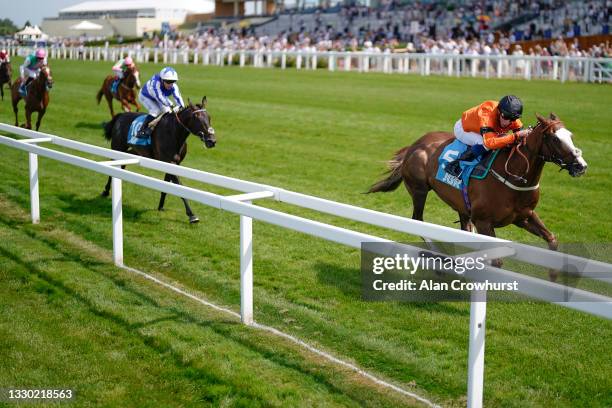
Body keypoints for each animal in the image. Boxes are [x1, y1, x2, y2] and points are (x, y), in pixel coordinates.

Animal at [368, 113, 588, 276]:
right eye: (555, 138)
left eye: (570, 135)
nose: (581, 166)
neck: (513, 176)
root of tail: (415, 144)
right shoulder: (484, 222)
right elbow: (497, 261)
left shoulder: (524, 216)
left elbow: (552, 239)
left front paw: (554, 274)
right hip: (419, 190)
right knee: (417, 220)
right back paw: (439, 258)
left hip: (461, 204)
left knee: (463, 227)